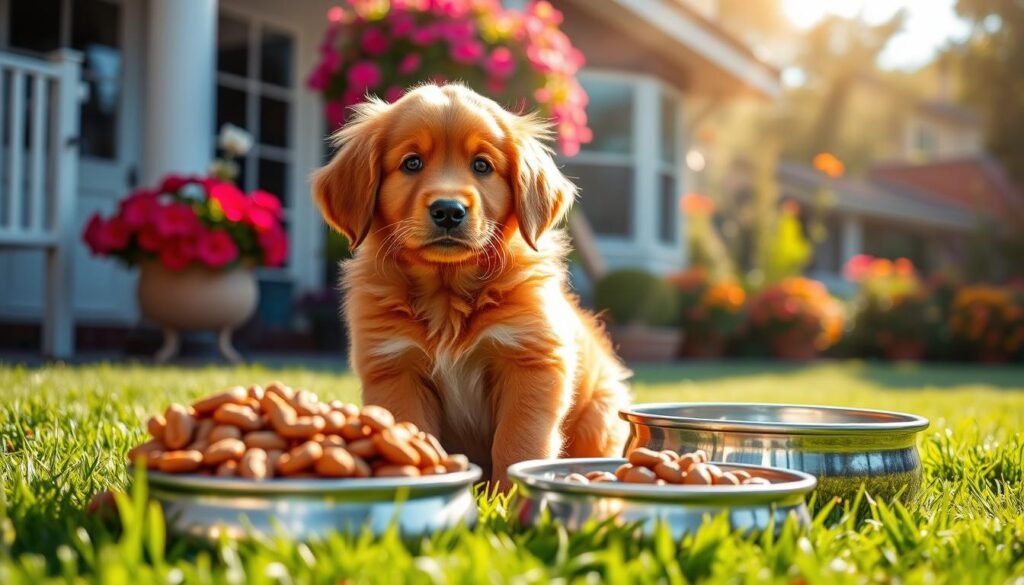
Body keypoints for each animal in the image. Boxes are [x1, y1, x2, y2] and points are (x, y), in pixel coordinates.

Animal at [311, 82, 630, 485]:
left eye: (482, 165)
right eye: (412, 163)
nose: (448, 211)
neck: (447, 292)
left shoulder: (531, 361)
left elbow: (518, 442)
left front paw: (511, 493)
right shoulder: (395, 368)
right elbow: (411, 430)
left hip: (598, 418)